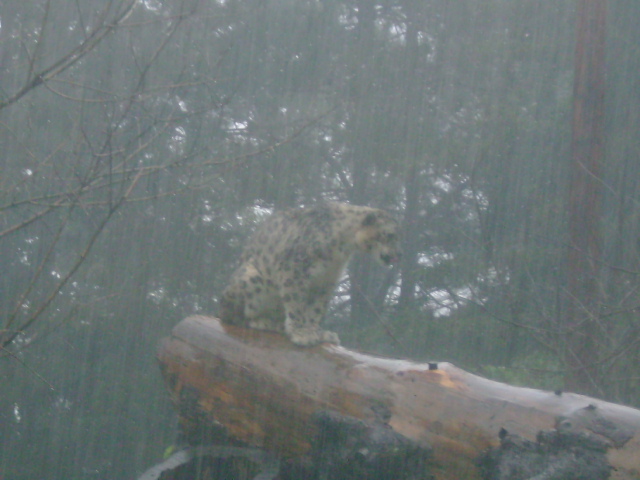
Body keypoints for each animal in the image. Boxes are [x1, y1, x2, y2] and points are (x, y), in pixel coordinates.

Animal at [218, 202, 401, 346]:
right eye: (390, 235)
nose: (398, 255)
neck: (342, 248)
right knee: (234, 317)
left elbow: (317, 308)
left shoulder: (327, 279)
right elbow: (296, 302)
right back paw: (267, 322)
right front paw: (301, 333)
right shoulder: (295, 269)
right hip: (251, 277)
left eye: (395, 236)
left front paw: (317, 331)